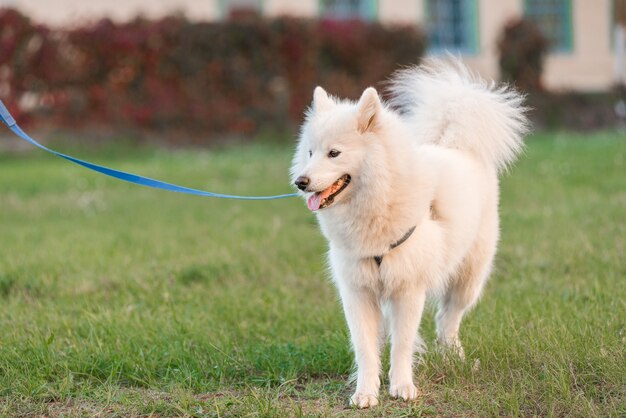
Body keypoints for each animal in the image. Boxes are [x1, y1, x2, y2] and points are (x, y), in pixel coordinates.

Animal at [290, 58, 524, 408]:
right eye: (309, 152)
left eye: (334, 153)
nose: (300, 182)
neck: (377, 204)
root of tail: (455, 145)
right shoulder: (358, 292)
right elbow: (365, 348)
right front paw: (366, 392)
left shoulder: (408, 289)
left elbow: (402, 344)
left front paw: (402, 386)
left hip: (468, 279)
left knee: (448, 319)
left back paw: (453, 356)